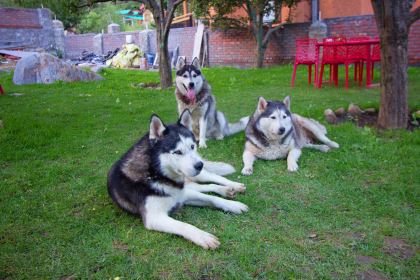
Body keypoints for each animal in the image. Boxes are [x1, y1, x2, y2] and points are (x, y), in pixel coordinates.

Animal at [106, 109, 248, 249]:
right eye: (178, 152)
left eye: (192, 146)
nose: (199, 165)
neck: (156, 174)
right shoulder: (154, 217)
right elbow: (184, 225)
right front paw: (203, 237)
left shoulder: (182, 195)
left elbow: (212, 199)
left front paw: (233, 205)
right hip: (190, 184)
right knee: (206, 186)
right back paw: (226, 190)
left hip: (196, 178)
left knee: (213, 177)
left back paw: (234, 185)